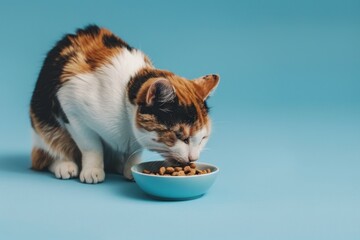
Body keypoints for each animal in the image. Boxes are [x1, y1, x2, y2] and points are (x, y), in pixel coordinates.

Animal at [29, 24, 219, 184]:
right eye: (180, 136)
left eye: (203, 138)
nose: (193, 159)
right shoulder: (70, 106)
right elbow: (91, 145)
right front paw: (92, 170)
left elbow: (135, 150)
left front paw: (131, 169)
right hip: (43, 125)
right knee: (44, 156)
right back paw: (65, 166)